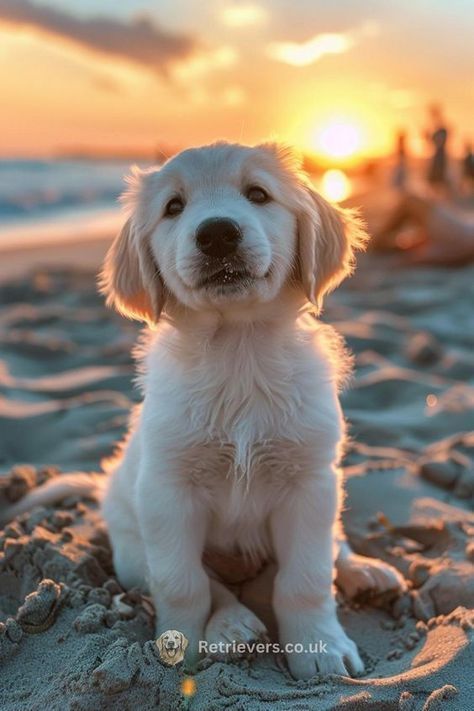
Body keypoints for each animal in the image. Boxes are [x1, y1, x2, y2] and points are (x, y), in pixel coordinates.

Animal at [1, 142, 406, 680]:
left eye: (258, 194)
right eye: (174, 207)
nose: (217, 233)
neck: (238, 351)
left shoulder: (311, 483)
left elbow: (307, 578)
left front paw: (320, 648)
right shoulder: (168, 492)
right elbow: (182, 582)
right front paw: (184, 646)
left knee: (334, 546)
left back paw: (367, 570)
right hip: (130, 550)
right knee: (205, 582)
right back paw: (233, 624)